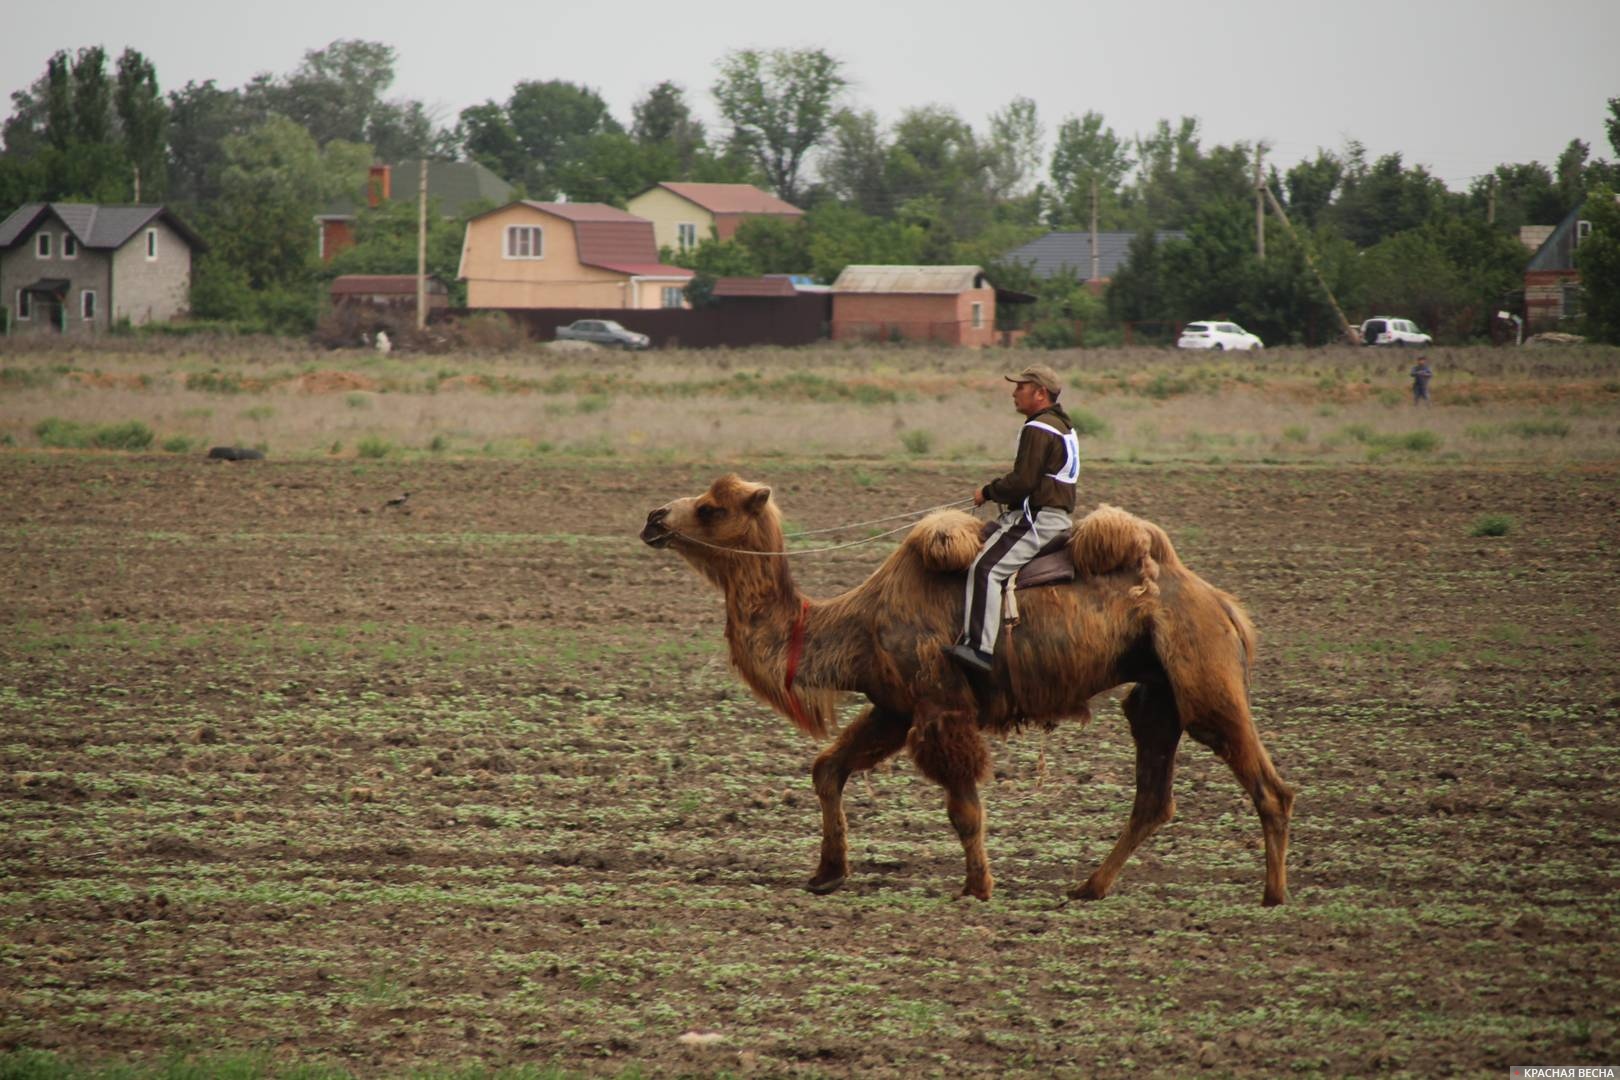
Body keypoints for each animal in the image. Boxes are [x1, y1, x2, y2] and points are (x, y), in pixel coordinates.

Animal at [638, 476, 1296, 906]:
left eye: (709, 507)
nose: (653, 518)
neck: (853, 622)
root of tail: (1224, 604)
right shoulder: (892, 706)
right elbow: (828, 768)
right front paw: (827, 873)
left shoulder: (939, 702)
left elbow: (964, 808)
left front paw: (978, 886)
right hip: (1155, 690)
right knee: (1154, 794)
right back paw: (1088, 886)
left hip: (1200, 666)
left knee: (1263, 779)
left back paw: (1272, 894)